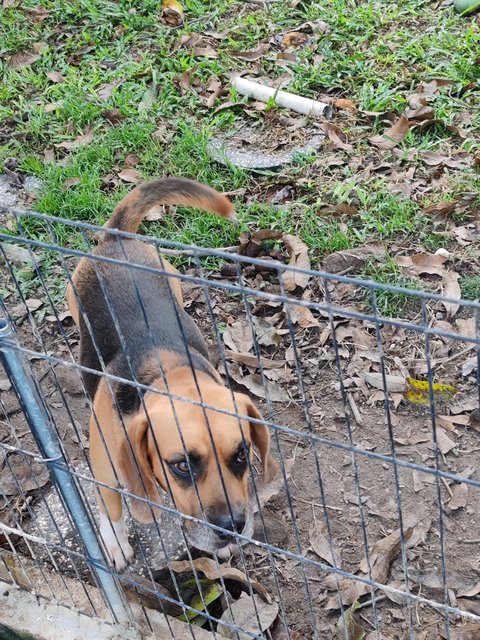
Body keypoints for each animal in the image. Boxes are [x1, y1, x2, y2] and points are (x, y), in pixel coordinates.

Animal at [66, 179, 278, 568]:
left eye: (241, 455)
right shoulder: (104, 468)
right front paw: (115, 543)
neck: (169, 374)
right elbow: (113, 510)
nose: (232, 527)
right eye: (182, 465)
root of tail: (116, 238)